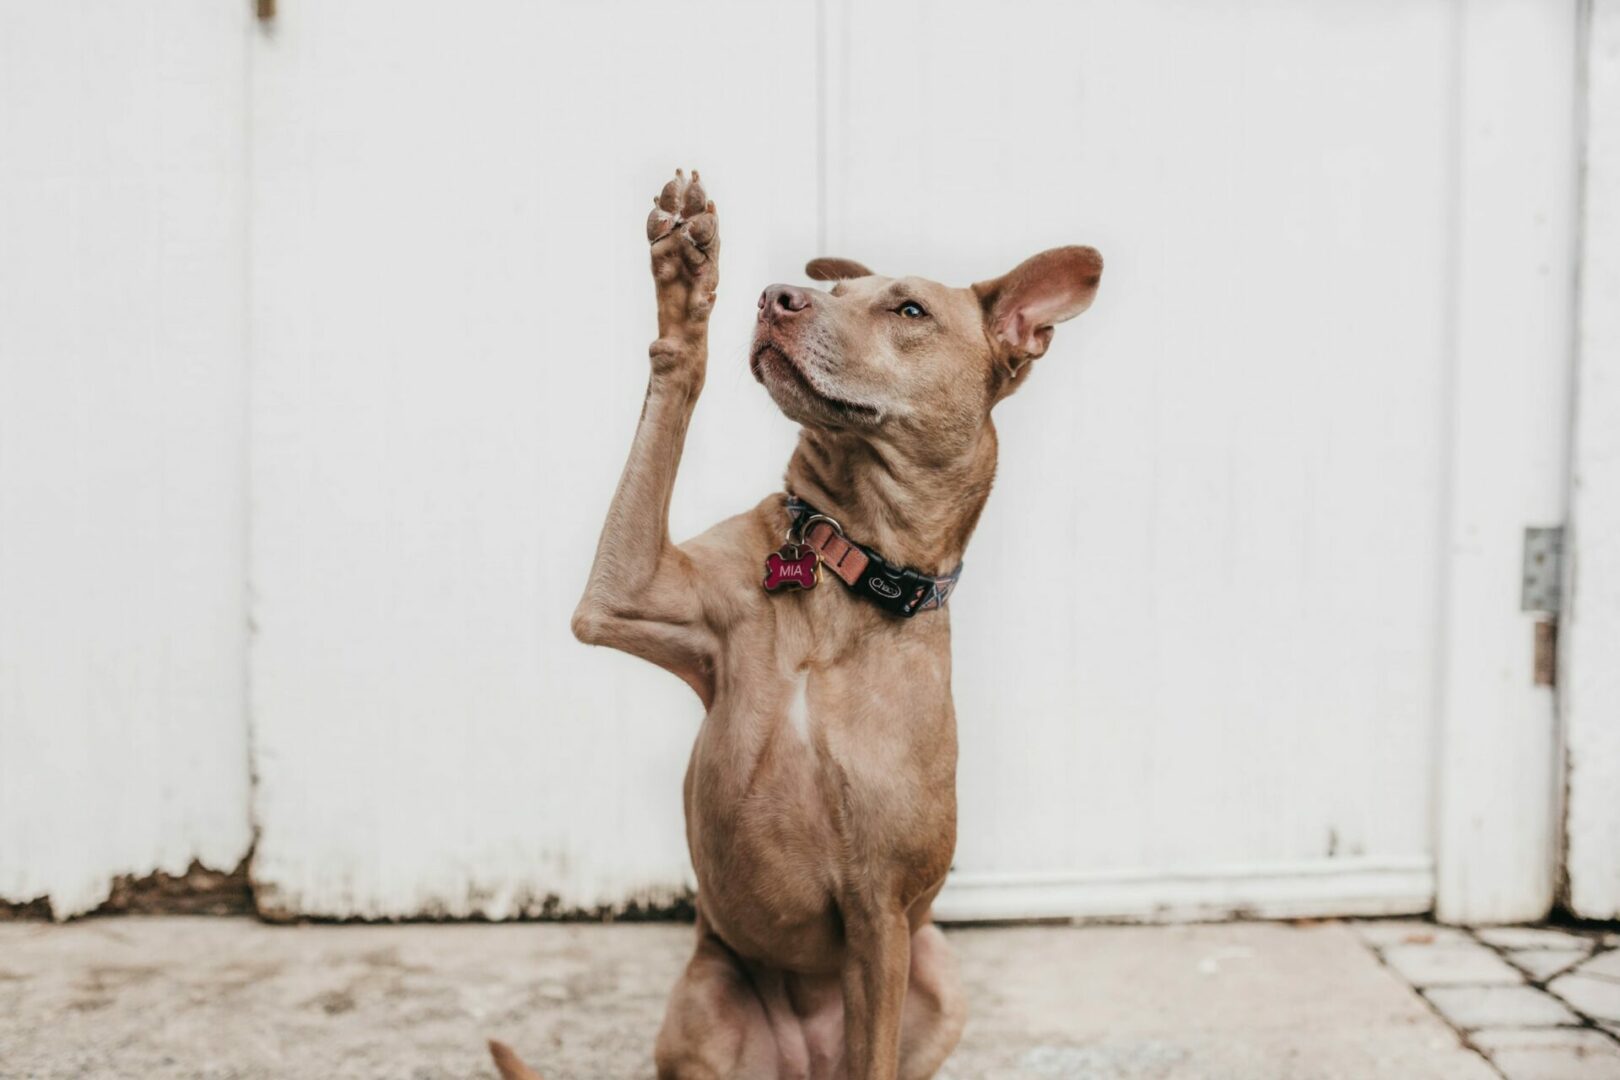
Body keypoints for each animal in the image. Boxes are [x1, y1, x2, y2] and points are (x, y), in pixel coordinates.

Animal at [492, 170, 1101, 1080]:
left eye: (908, 309)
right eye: (835, 291)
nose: (778, 296)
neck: (844, 566)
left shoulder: (881, 913)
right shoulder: (621, 592)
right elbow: (672, 385)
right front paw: (685, 282)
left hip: (936, 971)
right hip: (705, 1000)